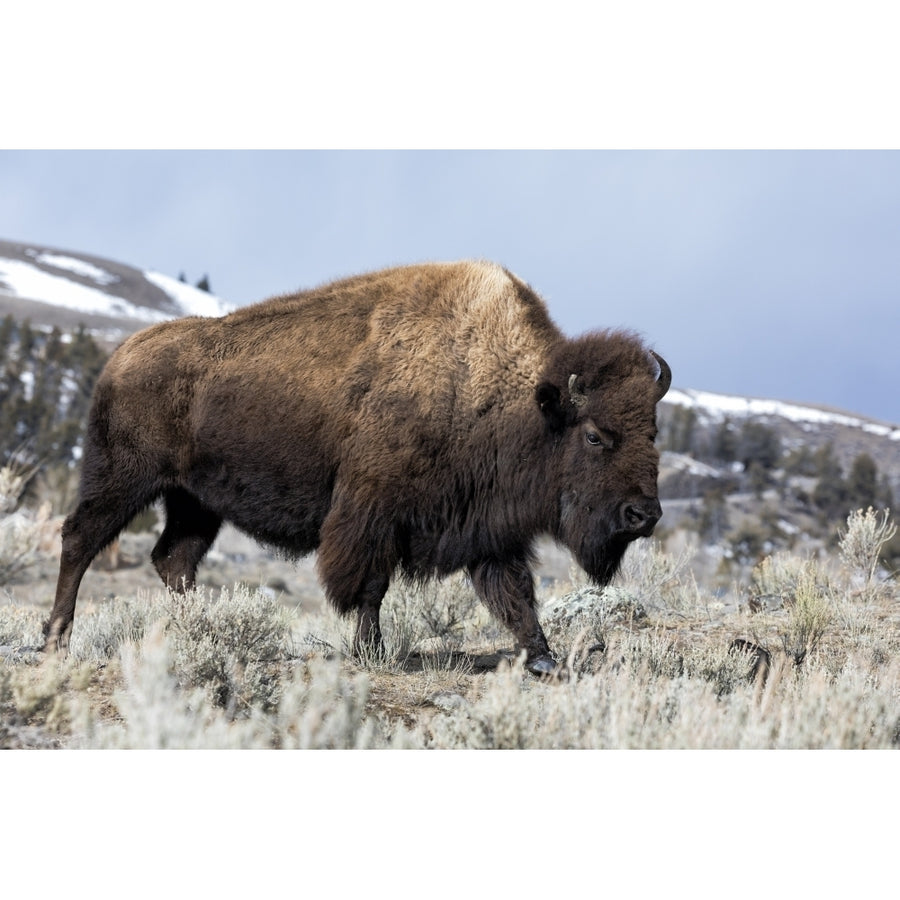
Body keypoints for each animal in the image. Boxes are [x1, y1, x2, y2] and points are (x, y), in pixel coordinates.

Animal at [45, 260, 672, 676]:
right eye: (594, 434)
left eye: (653, 431)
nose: (643, 514)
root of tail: (120, 359)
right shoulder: (371, 514)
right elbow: (370, 587)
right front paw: (370, 652)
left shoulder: (486, 527)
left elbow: (514, 592)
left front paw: (544, 660)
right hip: (123, 480)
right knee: (79, 538)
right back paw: (55, 641)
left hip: (195, 502)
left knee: (174, 559)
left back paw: (193, 633)